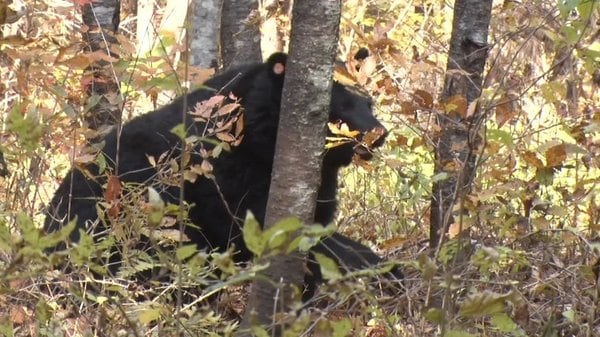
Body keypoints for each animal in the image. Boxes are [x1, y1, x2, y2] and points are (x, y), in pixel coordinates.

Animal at [45, 51, 404, 294]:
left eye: (368, 103)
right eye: (339, 108)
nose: (380, 133)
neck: (261, 137)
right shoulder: (226, 175)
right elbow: (262, 228)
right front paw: (379, 268)